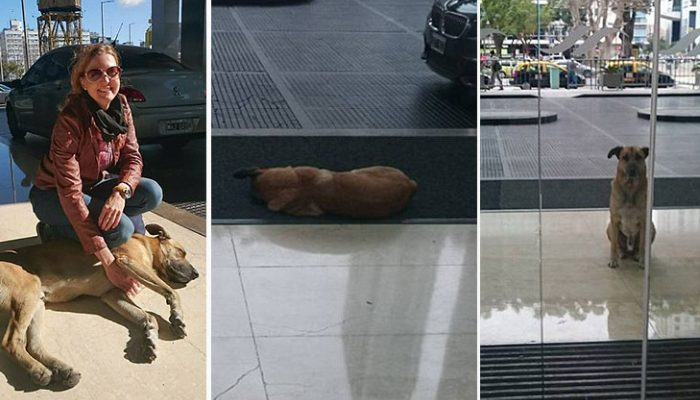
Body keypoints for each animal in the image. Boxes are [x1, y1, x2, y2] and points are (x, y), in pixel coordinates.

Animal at [0, 223, 200, 386]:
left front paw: (150, 337)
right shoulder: (128, 262)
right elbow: (172, 292)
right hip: (29, 291)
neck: (147, 248)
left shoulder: (112, 294)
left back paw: (62, 370)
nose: (197, 274)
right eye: (182, 252)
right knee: (11, 341)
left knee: (33, 345)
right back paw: (38, 370)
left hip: (37, 303)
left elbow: (149, 317)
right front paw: (177, 317)